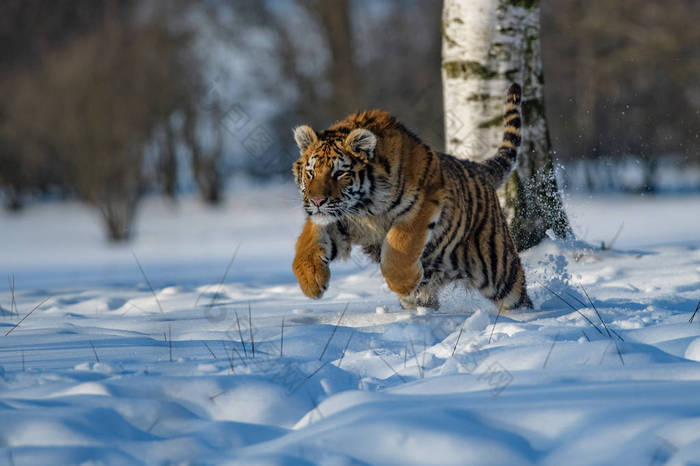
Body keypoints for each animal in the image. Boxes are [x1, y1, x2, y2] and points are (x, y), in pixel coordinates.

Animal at [290, 83, 532, 314]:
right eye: (310, 173)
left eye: (339, 173)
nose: (317, 201)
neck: (364, 207)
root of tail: (479, 168)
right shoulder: (341, 220)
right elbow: (306, 244)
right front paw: (311, 282)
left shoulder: (423, 202)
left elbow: (400, 244)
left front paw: (405, 283)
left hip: (498, 269)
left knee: (518, 297)